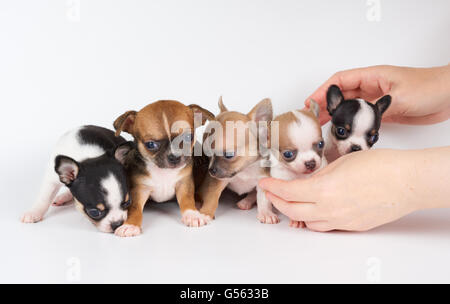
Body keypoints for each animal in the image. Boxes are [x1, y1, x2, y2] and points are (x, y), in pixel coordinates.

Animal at [112, 100, 214, 238]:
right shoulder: (139, 190)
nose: (174, 156)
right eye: (150, 144)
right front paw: (130, 225)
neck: (163, 172)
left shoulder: (184, 183)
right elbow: (134, 208)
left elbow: (187, 200)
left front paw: (192, 215)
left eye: (188, 137)